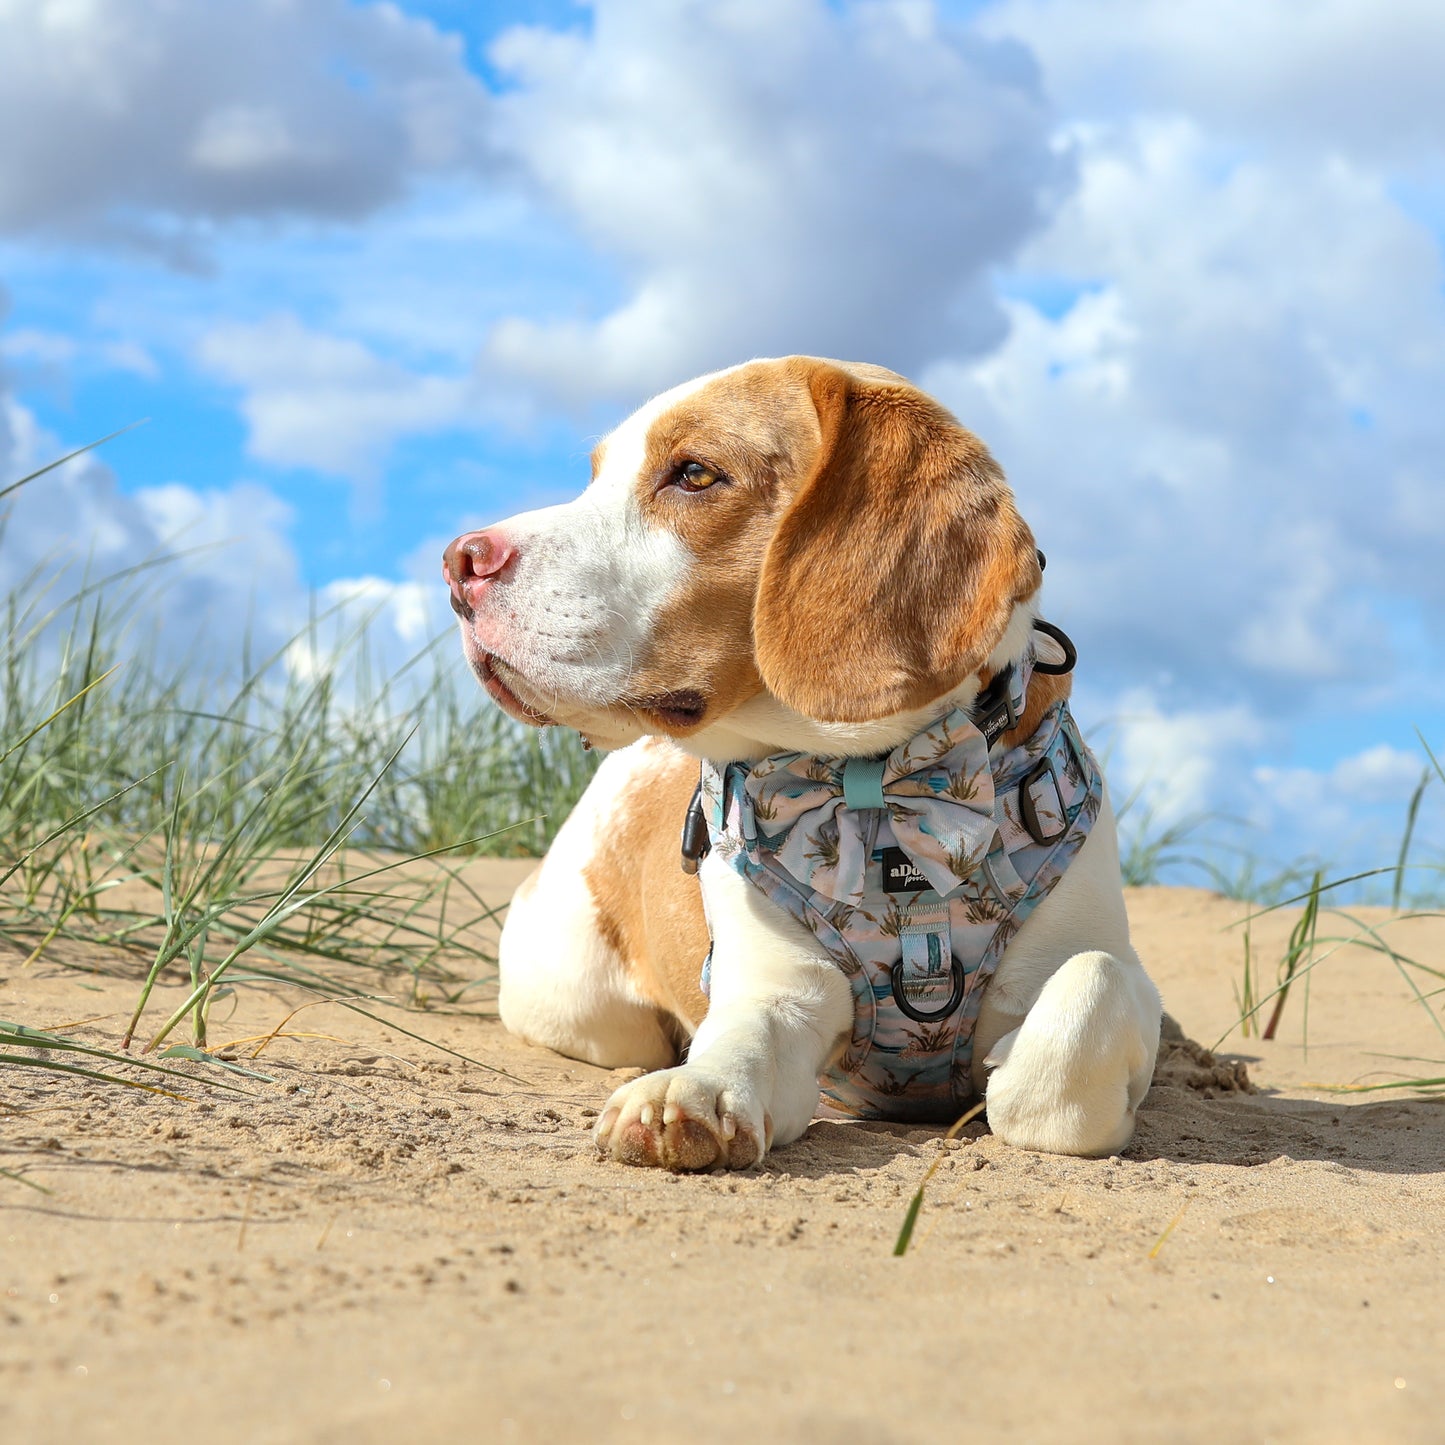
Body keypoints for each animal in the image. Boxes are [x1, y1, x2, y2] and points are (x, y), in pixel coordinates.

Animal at [439, 355, 1161, 1167]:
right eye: (594, 477)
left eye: (694, 473)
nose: (460, 559)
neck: (882, 791)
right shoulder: (777, 992)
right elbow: (740, 1036)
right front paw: (689, 1092)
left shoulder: (1108, 968)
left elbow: (1082, 1005)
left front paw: (1010, 1078)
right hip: (574, 998)